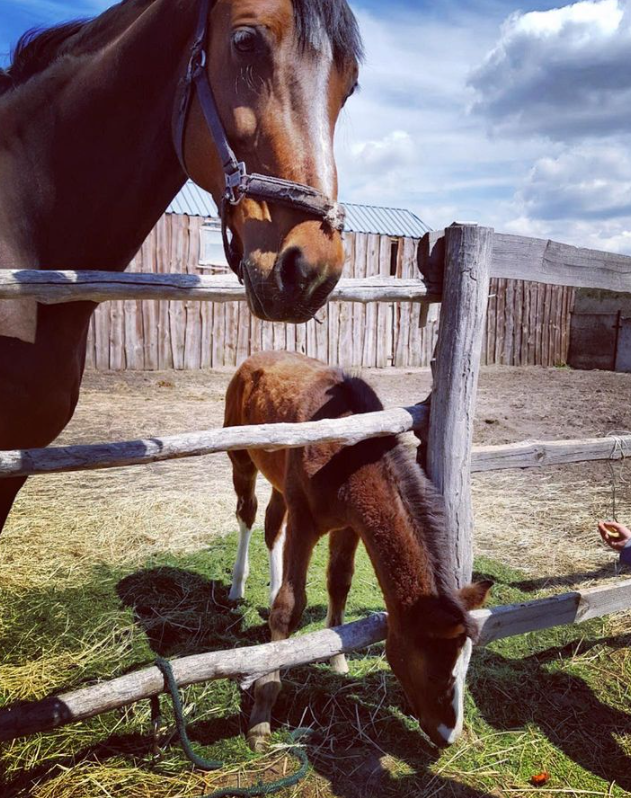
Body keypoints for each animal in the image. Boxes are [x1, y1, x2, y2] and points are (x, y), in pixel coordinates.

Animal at [225, 354, 492, 752]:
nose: (449, 736)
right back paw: (237, 587)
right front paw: (261, 716)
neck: (344, 457)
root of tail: (251, 361)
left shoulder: (351, 524)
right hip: (241, 459)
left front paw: (337, 659)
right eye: (437, 671)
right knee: (247, 513)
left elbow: (339, 582)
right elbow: (290, 606)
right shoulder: (304, 522)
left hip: (277, 478)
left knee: (272, 523)